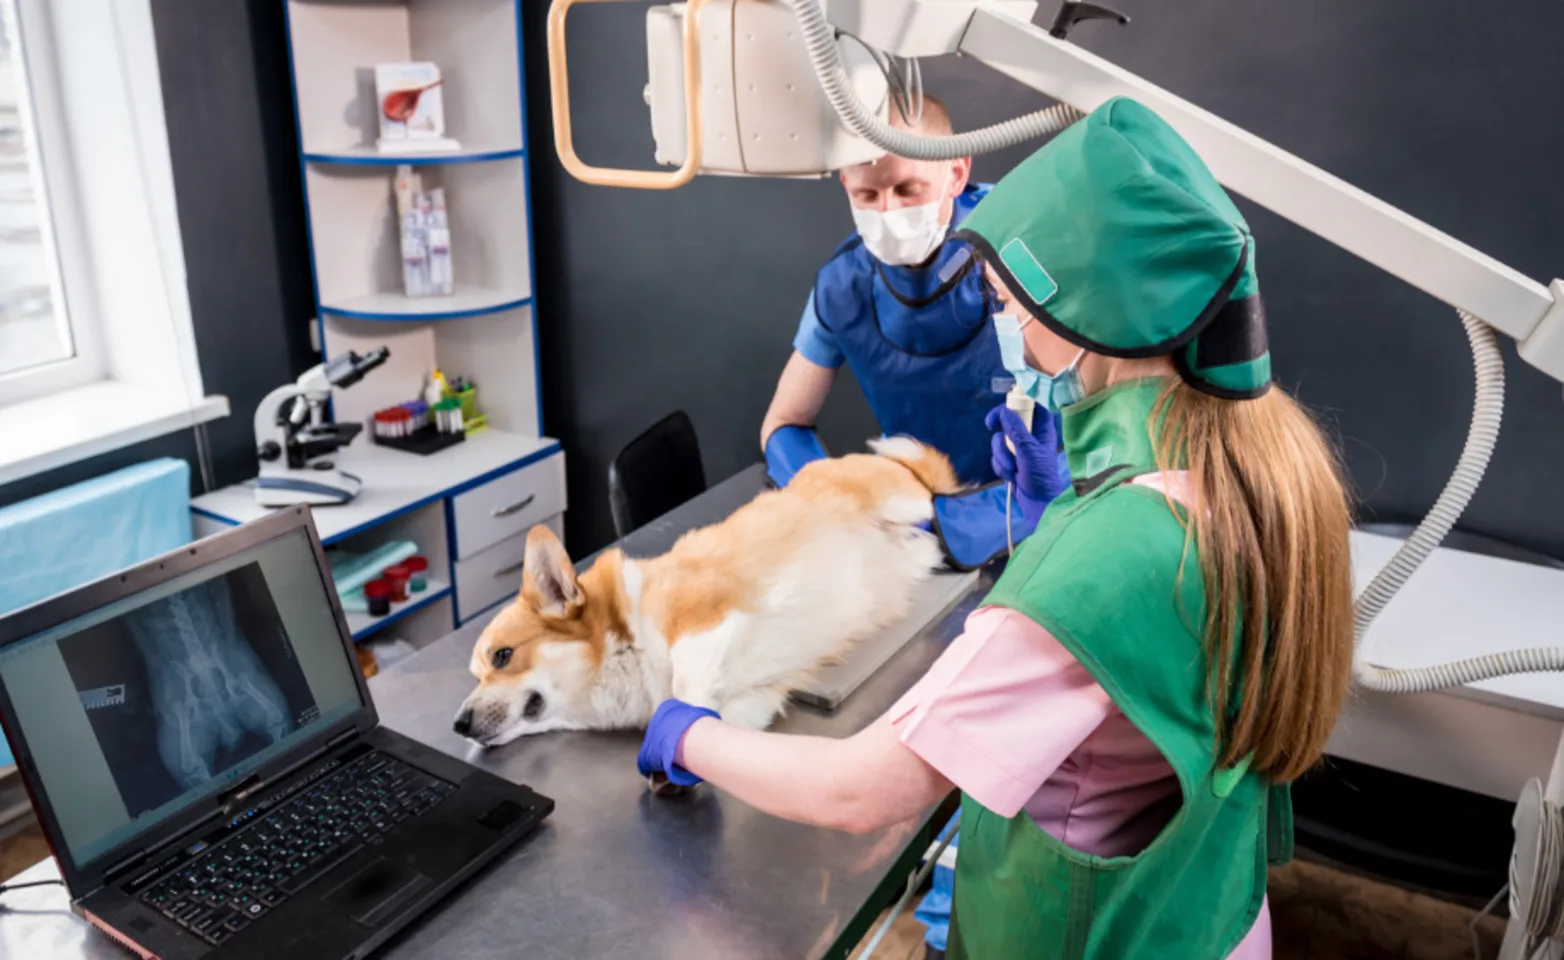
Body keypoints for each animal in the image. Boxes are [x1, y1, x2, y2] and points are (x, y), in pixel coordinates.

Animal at [453, 440, 957, 747]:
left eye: (502, 656)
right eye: (475, 673)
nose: (458, 725)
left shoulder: (702, 616)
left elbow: (686, 685)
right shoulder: (755, 698)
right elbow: (719, 723)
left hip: (904, 500)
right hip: (918, 549)